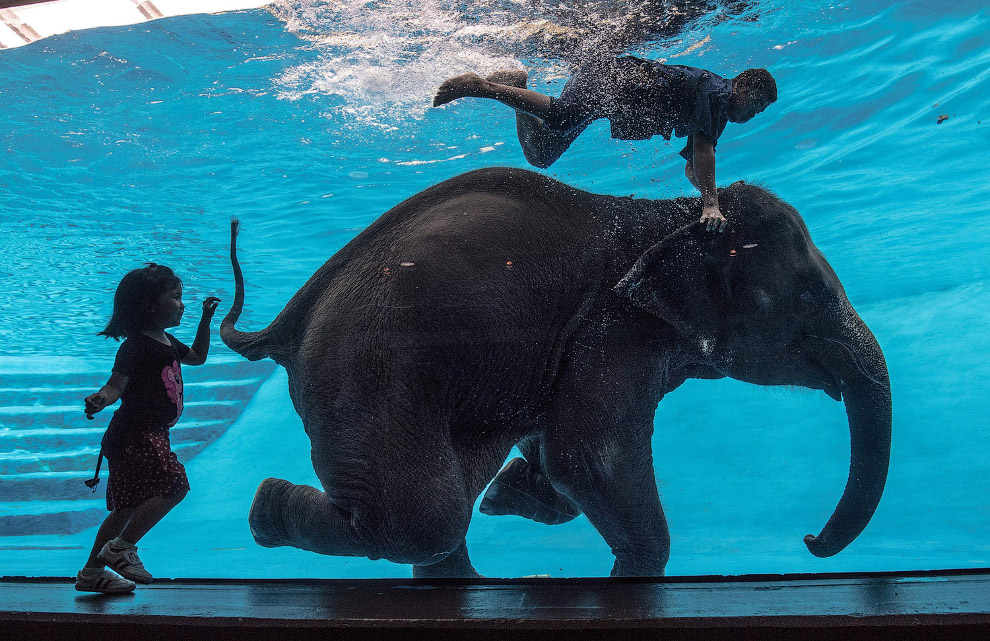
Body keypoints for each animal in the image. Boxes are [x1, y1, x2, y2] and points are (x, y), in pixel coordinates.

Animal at [221, 168, 896, 576]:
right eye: (812, 299)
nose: (808, 544)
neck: (673, 219)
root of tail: (284, 327)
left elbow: (557, 448)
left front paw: (509, 493)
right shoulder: (614, 325)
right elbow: (587, 453)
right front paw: (633, 572)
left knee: (451, 495)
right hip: (363, 375)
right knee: (426, 516)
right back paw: (263, 509)